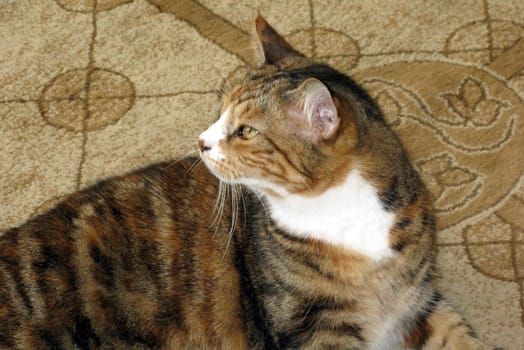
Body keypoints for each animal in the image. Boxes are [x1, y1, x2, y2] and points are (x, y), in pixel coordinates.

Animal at [0, 16, 500, 350]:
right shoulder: (310, 327)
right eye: (221, 111)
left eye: (246, 131)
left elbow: (462, 338)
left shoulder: (419, 303)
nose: (201, 142)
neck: (345, 219)